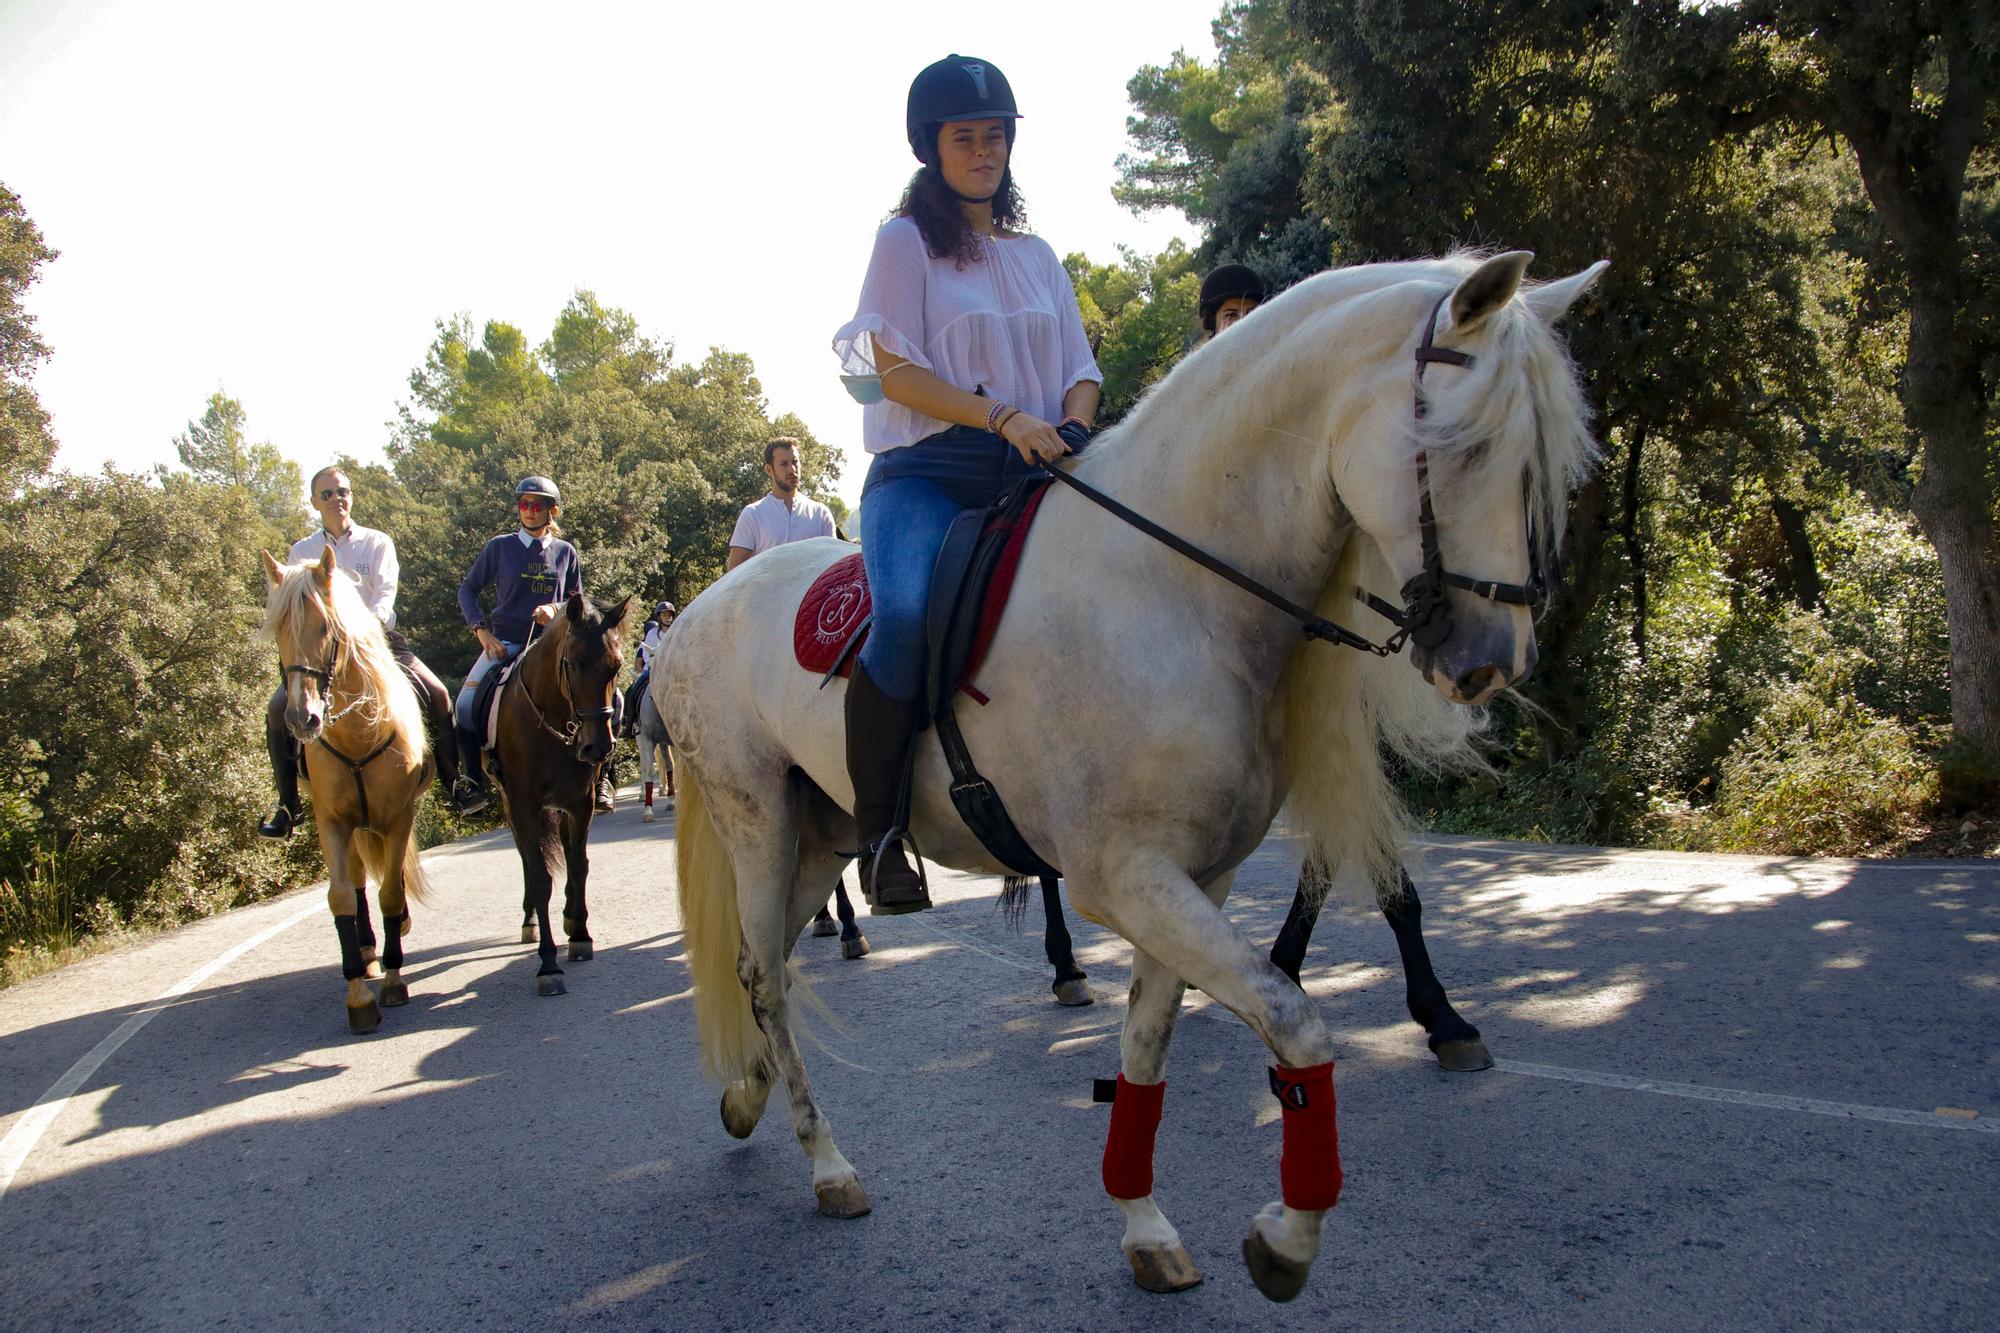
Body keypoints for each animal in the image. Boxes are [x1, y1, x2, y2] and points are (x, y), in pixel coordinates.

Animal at [264, 544, 436, 1032]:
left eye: (327, 627)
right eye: (278, 628)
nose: (302, 718)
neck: (356, 733)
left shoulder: (398, 816)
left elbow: (392, 891)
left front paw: (395, 982)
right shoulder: (332, 821)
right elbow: (340, 895)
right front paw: (359, 995)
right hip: (353, 824)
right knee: (358, 882)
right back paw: (367, 950)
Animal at [484, 588, 624, 984]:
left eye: (615, 666)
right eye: (572, 664)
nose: (597, 748)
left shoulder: (580, 803)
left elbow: (579, 865)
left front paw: (580, 934)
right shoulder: (524, 805)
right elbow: (540, 876)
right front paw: (548, 964)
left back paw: (568, 917)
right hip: (513, 807)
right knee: (526, 860)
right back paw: (530, 920)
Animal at [664, 252, 1600, 1296]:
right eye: (1461, 446)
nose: (1495, 661)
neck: (1170, 589)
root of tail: (696, 610)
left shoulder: (1196, 879)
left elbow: (1149, 1044)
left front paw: (1145, 1223)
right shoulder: (1125, 878)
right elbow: (1296, 1021)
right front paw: (1286, 1236)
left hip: (822, 834)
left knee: (766, 967)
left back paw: (746, 1101)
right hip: (757, 819)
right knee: (767, 978)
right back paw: (828, 1163)